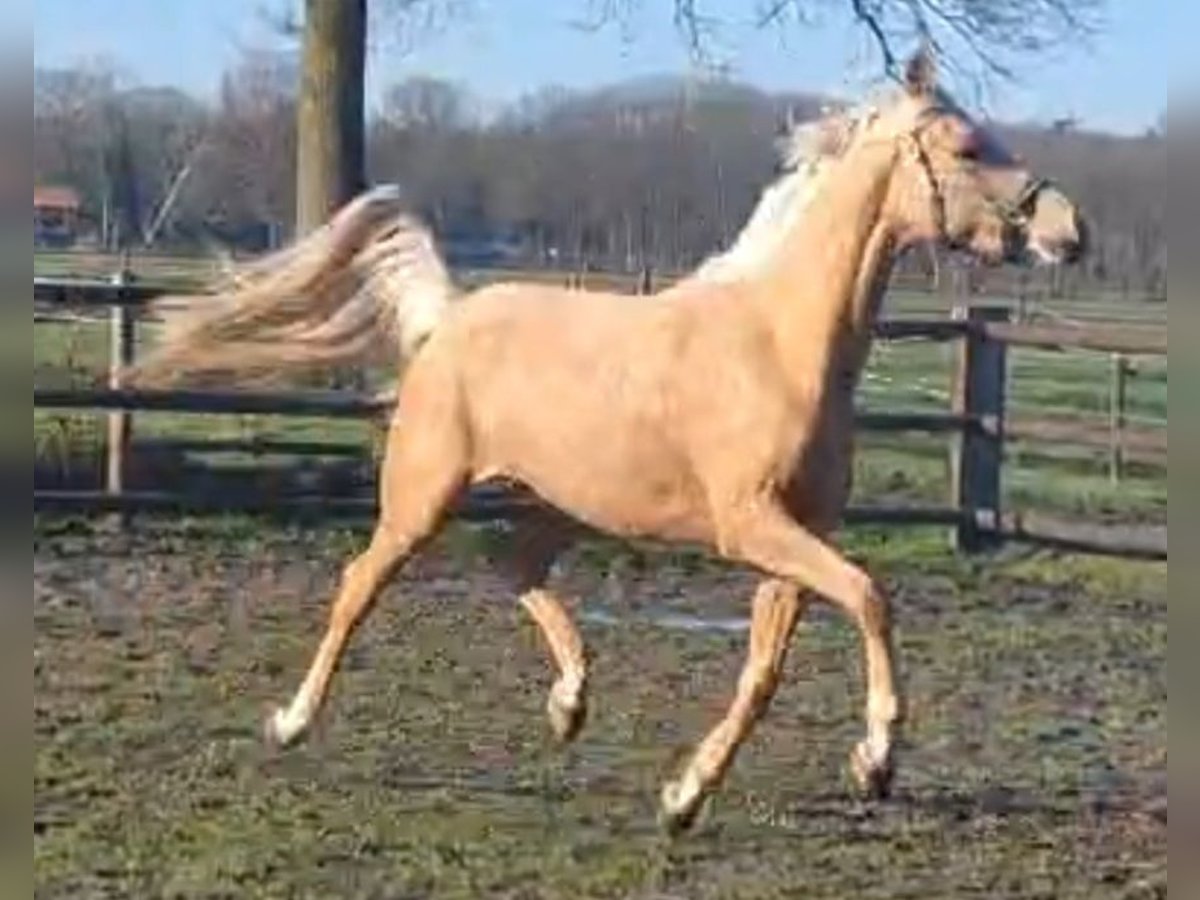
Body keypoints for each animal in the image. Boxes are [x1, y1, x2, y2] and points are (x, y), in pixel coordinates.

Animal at [133, 54, 1089, 830]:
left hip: (564, 502)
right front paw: (877, 758)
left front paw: (685, 798)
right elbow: (871, 598)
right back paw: (291, 723)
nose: (1067, 233)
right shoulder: (753, 528)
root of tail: (450, 316)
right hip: (421, 498)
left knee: (514, 567)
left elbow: (765, 671)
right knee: (358, 588)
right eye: (967, 147)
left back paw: (570, 703)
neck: (780, 345)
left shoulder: (793, 543)